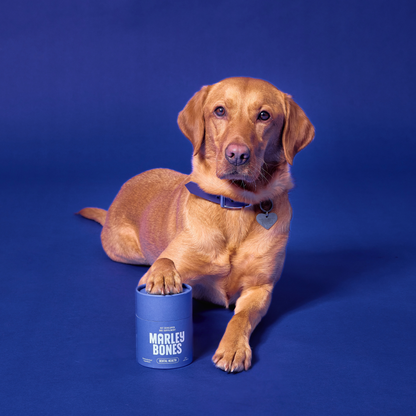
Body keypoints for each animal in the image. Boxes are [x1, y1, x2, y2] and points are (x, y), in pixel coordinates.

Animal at [78, 77, 314, 372]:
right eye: (220, 111)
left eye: (264, 115)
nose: (237, 155)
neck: (236, 204)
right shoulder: (169, 265)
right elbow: (166, 261)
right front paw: (164, 276)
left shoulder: (260, 289)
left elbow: (241, 318)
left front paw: (233, 348)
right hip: (128, 254)